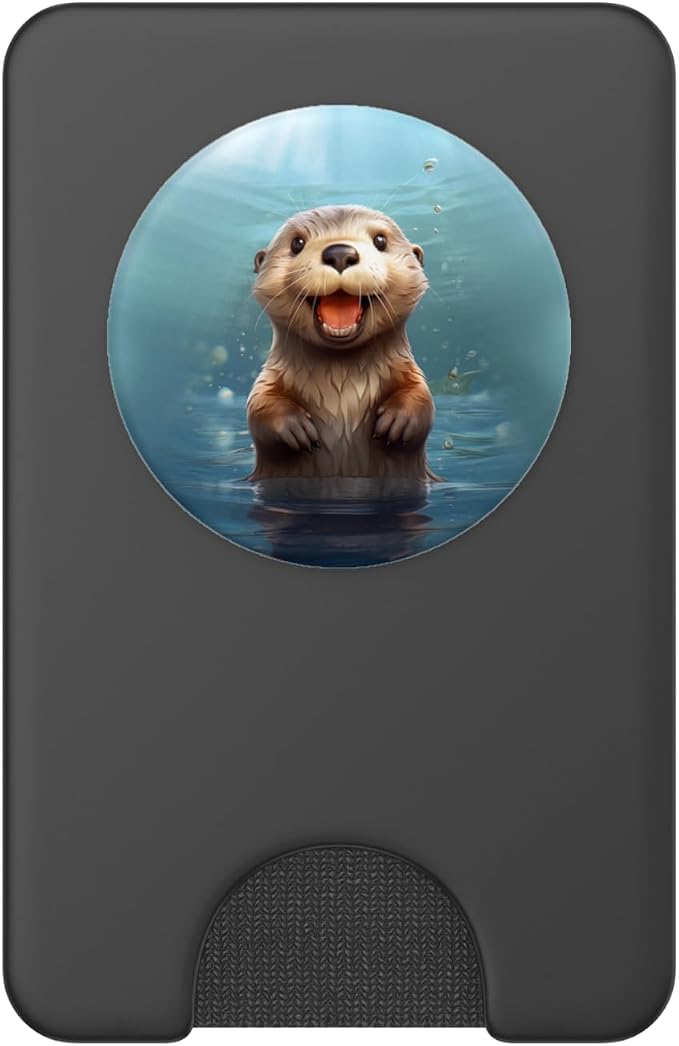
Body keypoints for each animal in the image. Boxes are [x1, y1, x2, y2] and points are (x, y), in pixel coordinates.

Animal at [247, 205, 435, 482]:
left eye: (380, 240)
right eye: (297, 243)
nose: (340, 253)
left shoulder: (406, 369)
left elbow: (422, 397)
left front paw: (397, 420)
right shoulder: (270, 377)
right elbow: (259, 406)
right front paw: (294, 426)